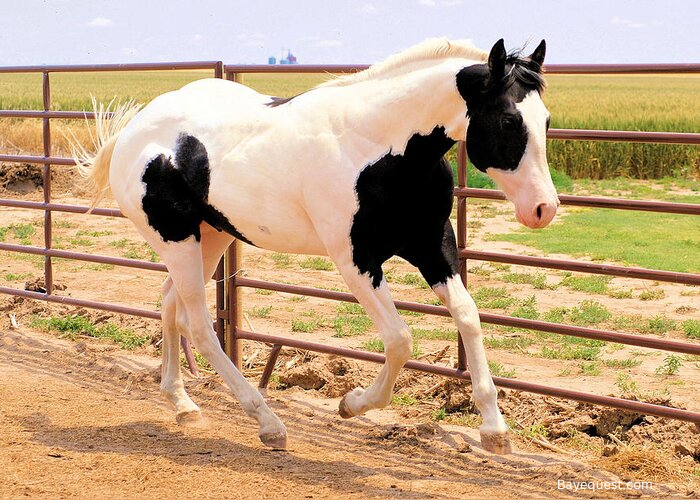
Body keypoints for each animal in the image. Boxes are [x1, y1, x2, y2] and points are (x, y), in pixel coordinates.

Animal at [74, 38, 556, 454]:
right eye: (510, 120)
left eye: (547, 120)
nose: (543, 209)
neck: (378, 148)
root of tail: (132, 132)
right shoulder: (355, 260)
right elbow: (400, 340)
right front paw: (352, 403)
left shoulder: (432, 246)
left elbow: (468, 317)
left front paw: (494, 430)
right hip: (178, 242)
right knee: (199, 326)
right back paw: (268, 423)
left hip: (210, 238)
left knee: (170, 305)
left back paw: (184, 405)